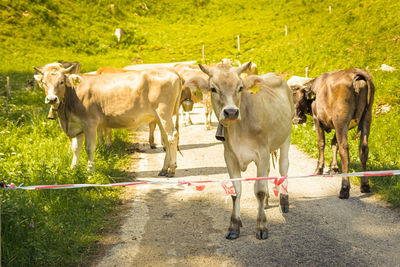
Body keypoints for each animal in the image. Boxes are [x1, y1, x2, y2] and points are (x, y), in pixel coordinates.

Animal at [33, 61, 181, 177]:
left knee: (172, 137)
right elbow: (75, 148)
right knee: (166, 138)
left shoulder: (90, 123)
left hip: (164, 113)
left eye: (62, 82)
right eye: (44, 83)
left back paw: (172, 170)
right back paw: (164, 169)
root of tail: (172, 73)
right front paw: (73, 169)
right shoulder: (76, 126)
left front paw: (90, 171)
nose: (52, 99)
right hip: (159, 117)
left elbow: (89, 147)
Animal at [185, 62, 294, 241]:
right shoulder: (230, 157)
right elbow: (236, 191)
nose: (231, 112)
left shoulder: (262, 154)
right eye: (213, 88)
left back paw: (283, 201)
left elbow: (259, 191)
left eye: (240, 87)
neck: (239, 130)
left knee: (283, 167)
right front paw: (234, 225)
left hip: (286, 136)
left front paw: (261, 226)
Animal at [290, 68, 376, 200]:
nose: (296, 120)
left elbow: (321, 143)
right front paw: (334, 168)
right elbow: (334, 144)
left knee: (344, 149)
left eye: (301, 100)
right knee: (363, 149)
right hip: (366, 117)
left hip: (341, 120)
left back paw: (344, 188)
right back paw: (365, 185)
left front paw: (319, 168)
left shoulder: (318, 120)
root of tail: (355, 72)